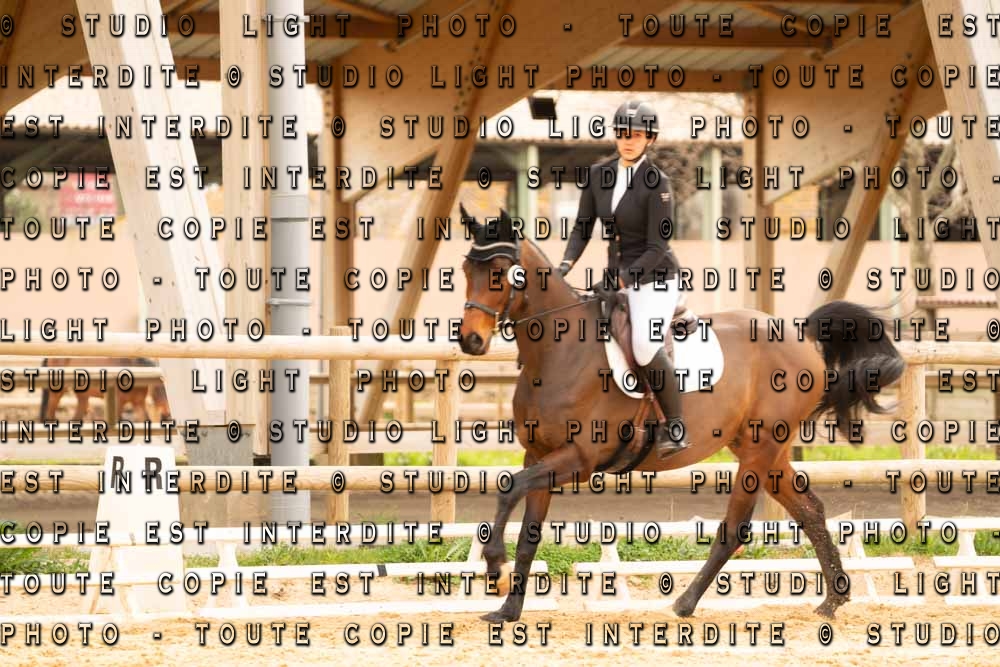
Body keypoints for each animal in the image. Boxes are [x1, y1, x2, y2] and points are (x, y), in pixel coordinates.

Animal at [39, 357, 172, 423]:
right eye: (159, 387)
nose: (168, 414)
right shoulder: (118, 403)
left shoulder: (138, 403)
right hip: (58, 392)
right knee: (51, 410)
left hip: (83, 395)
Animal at [455, 205, 905, 623]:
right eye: (465, 269)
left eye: (499, 271)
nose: (470, 341)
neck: (558, 353)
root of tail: (800, 332)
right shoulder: (539, 454)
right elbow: (527, 532)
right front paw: (508, 608)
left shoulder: (579, 459)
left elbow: (508, 489)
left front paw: (494, 568)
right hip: (764, 450)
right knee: (810, 510)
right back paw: (832, 600)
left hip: (760, 450)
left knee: (736, 527)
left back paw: (684, 603)